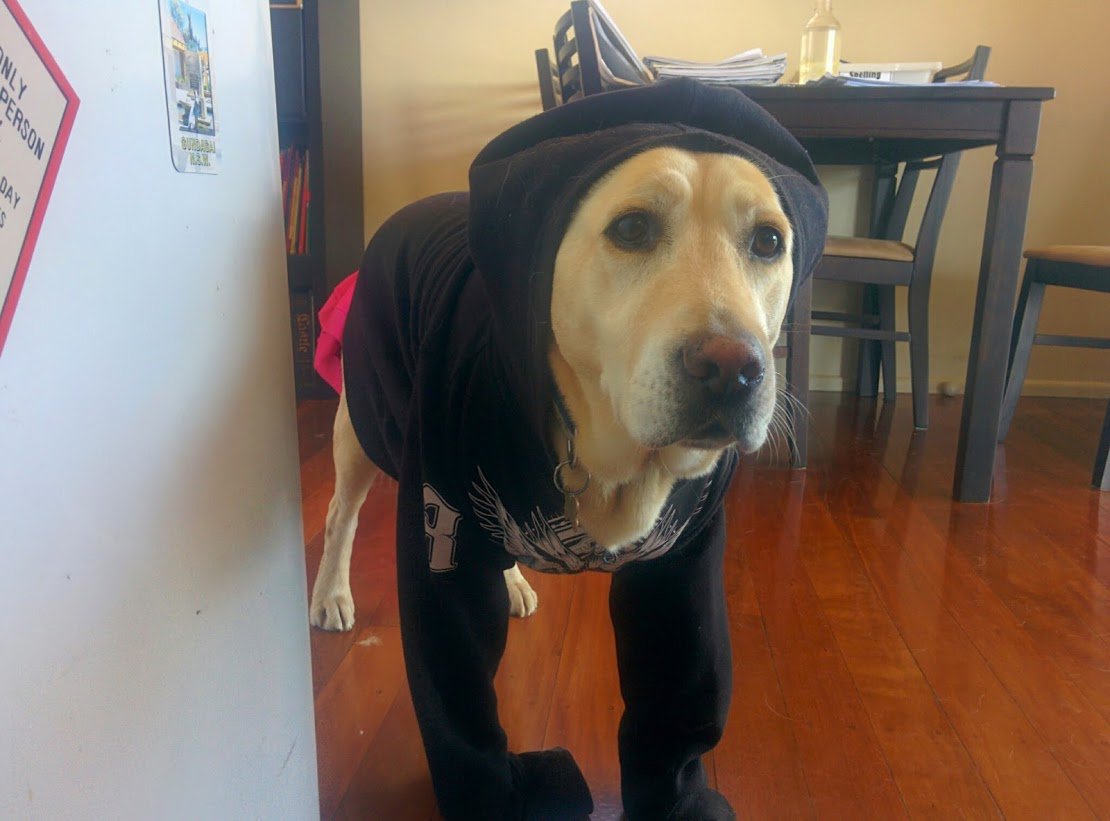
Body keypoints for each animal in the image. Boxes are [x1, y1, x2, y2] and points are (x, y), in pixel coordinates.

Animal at [305, 80, 826, 820]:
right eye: (631, 229)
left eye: (768, 242)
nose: (734, 369)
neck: (613, 462)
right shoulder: (441, 547)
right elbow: (459, 708)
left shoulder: (683, 570)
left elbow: (674, 708)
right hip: (364, 422)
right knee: (340, 515)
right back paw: (331, 593)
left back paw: (515, 582)